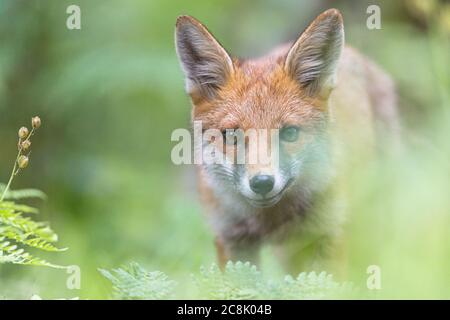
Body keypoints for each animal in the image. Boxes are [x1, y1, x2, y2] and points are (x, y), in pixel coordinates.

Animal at [174, 8, 400, 274]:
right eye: (231, 136)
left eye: (289, 133)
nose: (262, 183)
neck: (270, 220)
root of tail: (357, 54)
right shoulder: (230, 238)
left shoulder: (328, 231)